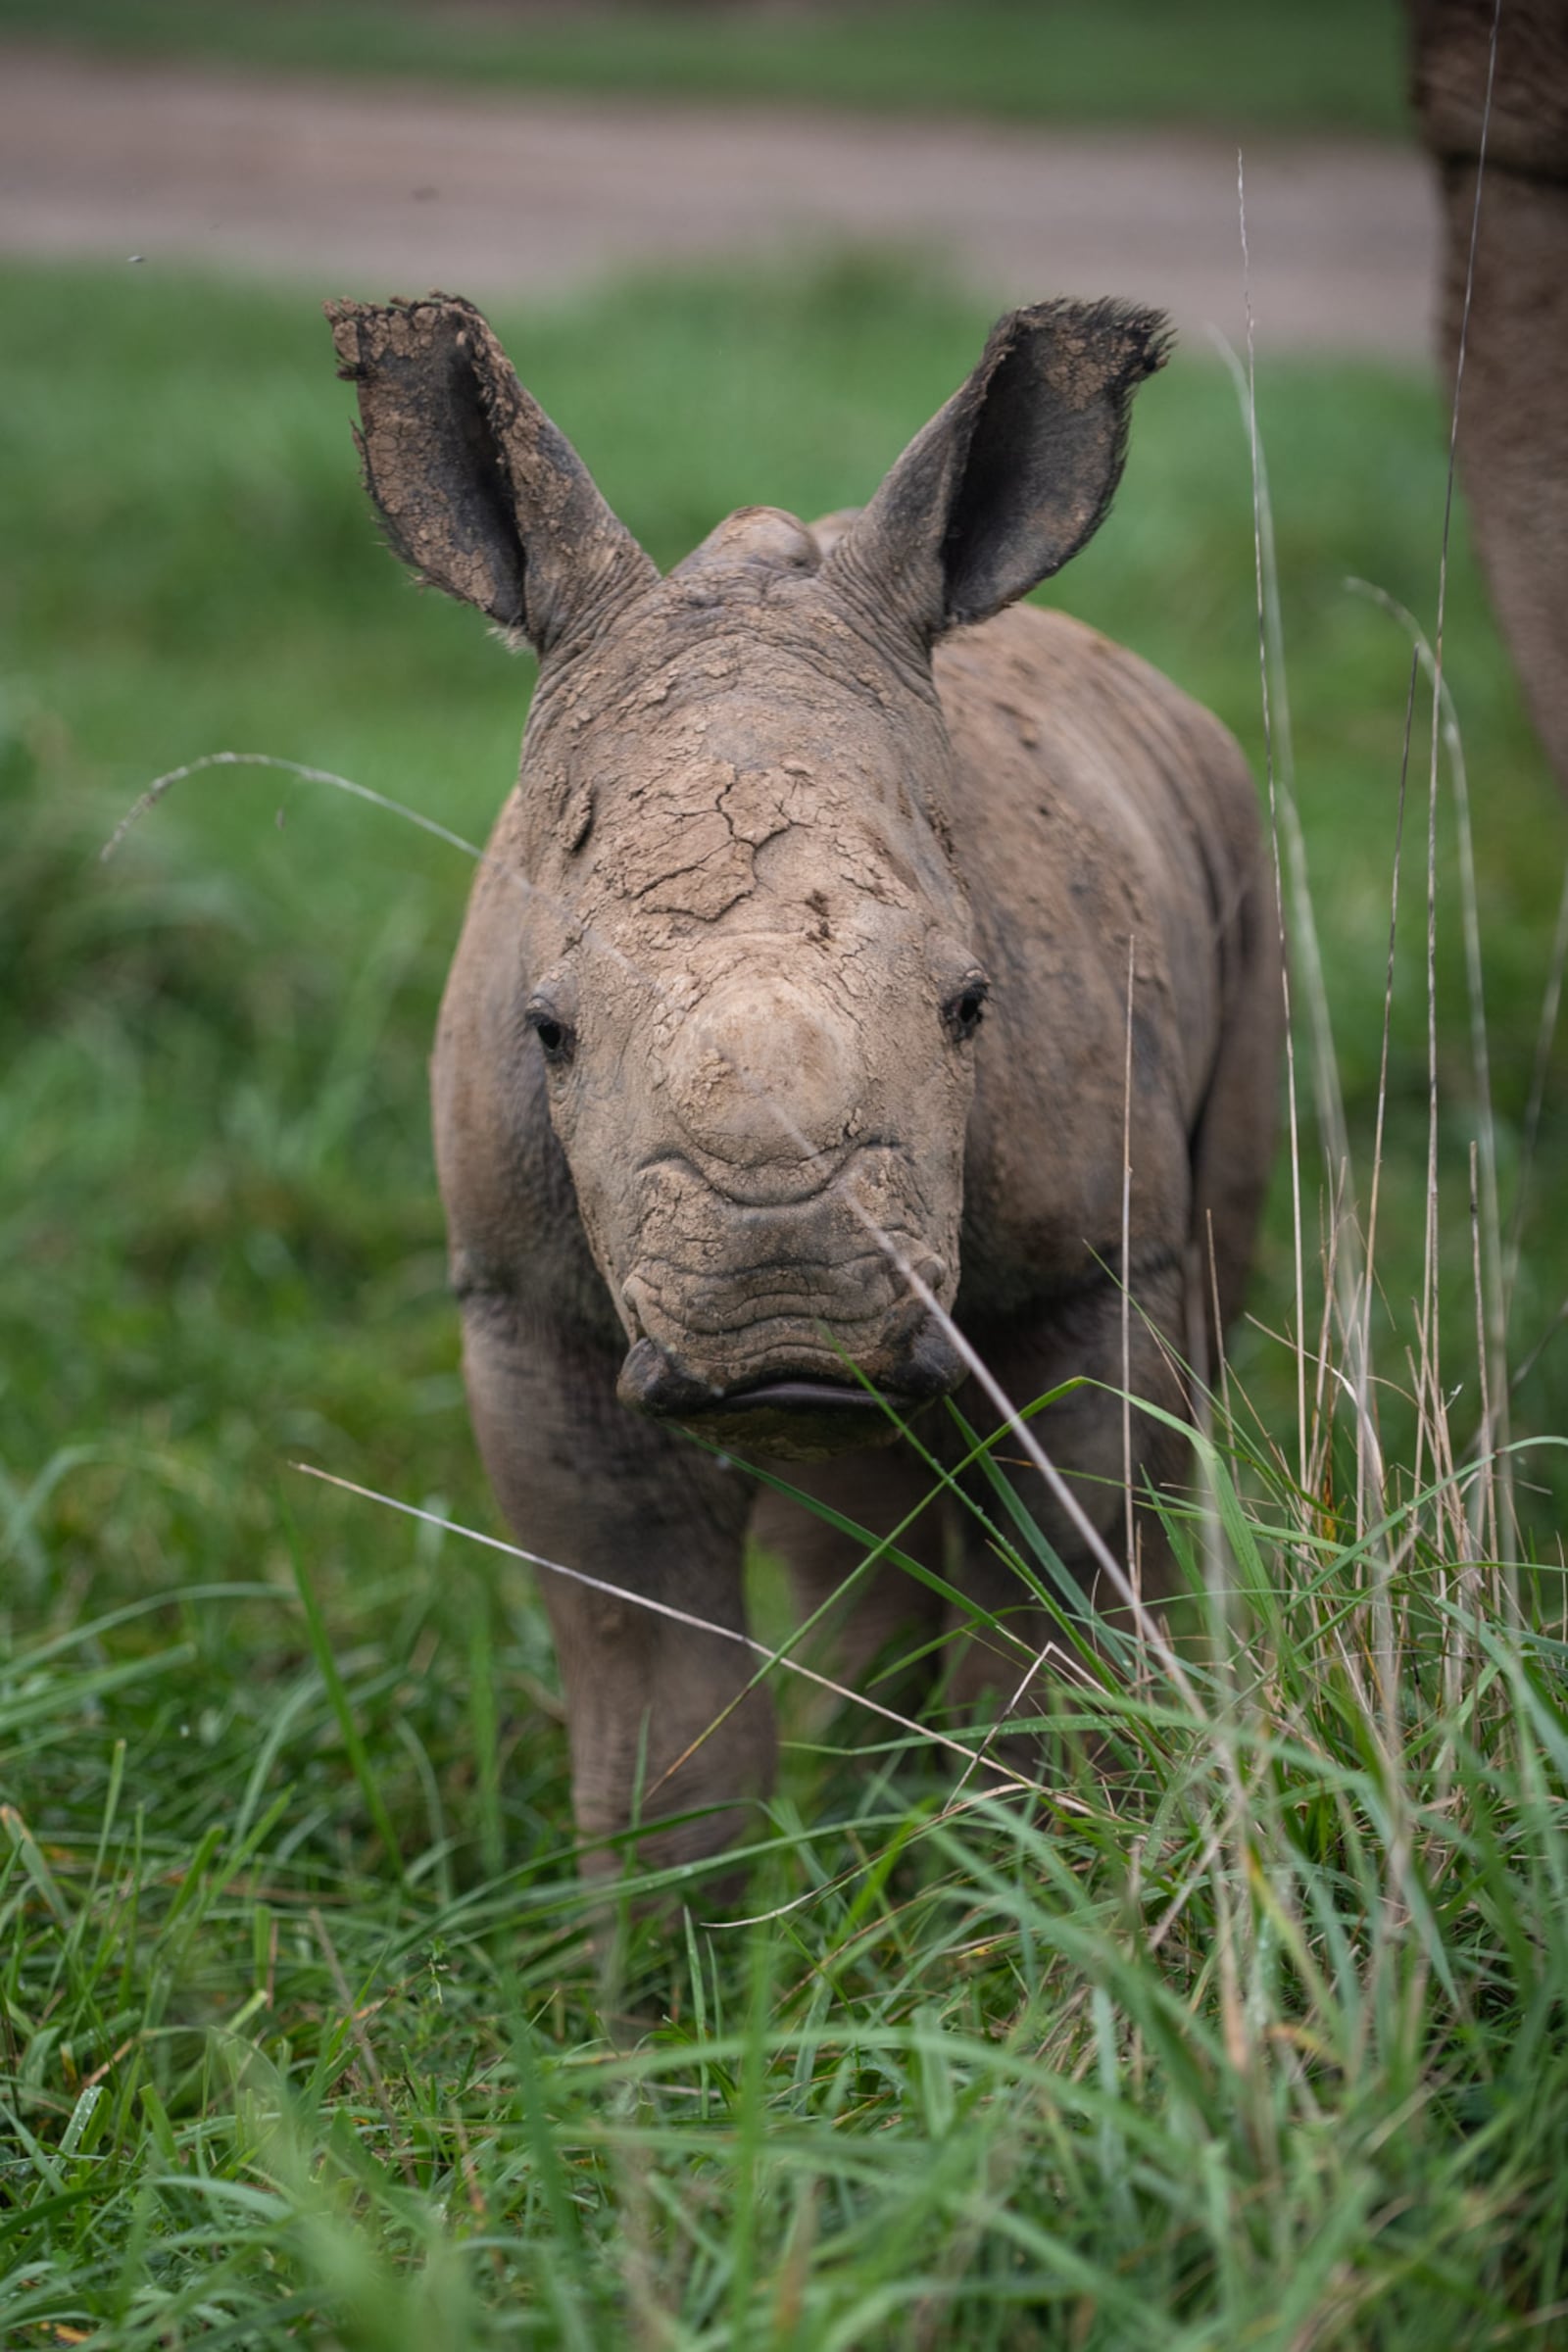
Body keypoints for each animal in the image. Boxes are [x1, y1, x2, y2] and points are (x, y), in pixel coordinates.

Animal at [328, 294, 1278, 1872]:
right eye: (546, 1032)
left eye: (972, 1007)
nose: (790, 1326)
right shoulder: (522, 1307)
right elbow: (660, 1725)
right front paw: (688, 1938)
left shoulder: (1091, 1270)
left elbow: (1059, 1619)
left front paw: (1035, 1873)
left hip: (1241, 868)